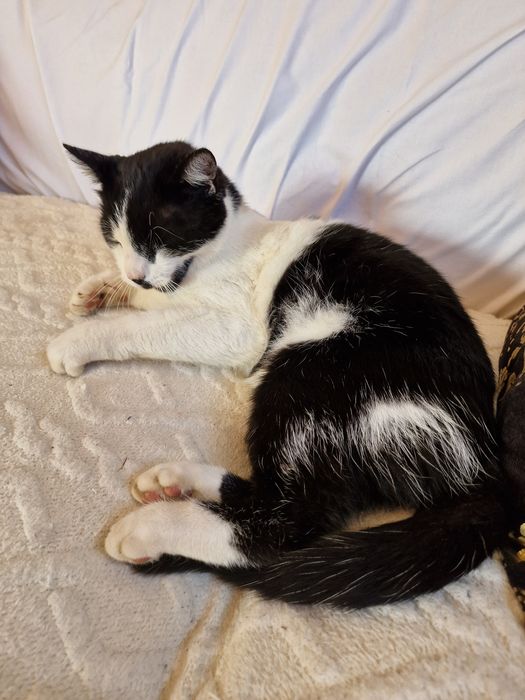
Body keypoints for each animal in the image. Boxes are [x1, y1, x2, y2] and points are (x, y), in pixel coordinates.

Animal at [47, 140, 506, 608]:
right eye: (115, 238)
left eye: (161, 236)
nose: (136, 272)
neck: (219, 251)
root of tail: (486, 463)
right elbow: (151, 301)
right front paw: (102, 288)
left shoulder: (238, 331)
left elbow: (147, 324)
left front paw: (79, 338)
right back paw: (175, 481)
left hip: (312, 370)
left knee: (285, 522)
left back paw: (152, 526)